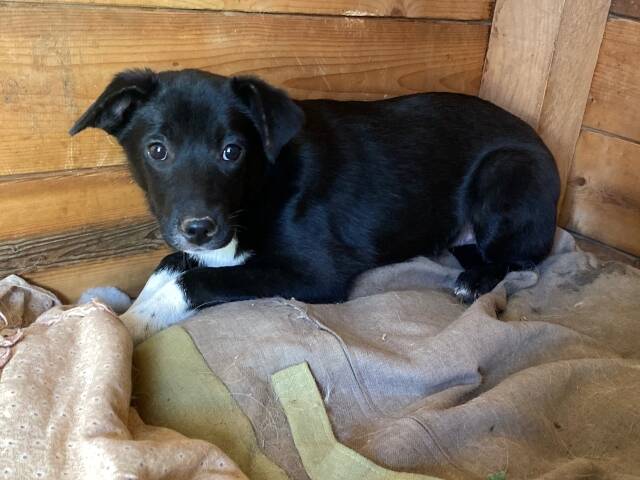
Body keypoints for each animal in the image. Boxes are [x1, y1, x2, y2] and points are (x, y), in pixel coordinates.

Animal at [70, 69, 560, 343]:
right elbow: (169, 265)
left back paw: (474, 283)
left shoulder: (315, 273)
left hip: (504, 171)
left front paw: (127, 327)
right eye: (157, 150)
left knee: (515, 261)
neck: (262, 186)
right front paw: (120, 317)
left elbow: (192, 281)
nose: (198, 229)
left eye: (232, 151)